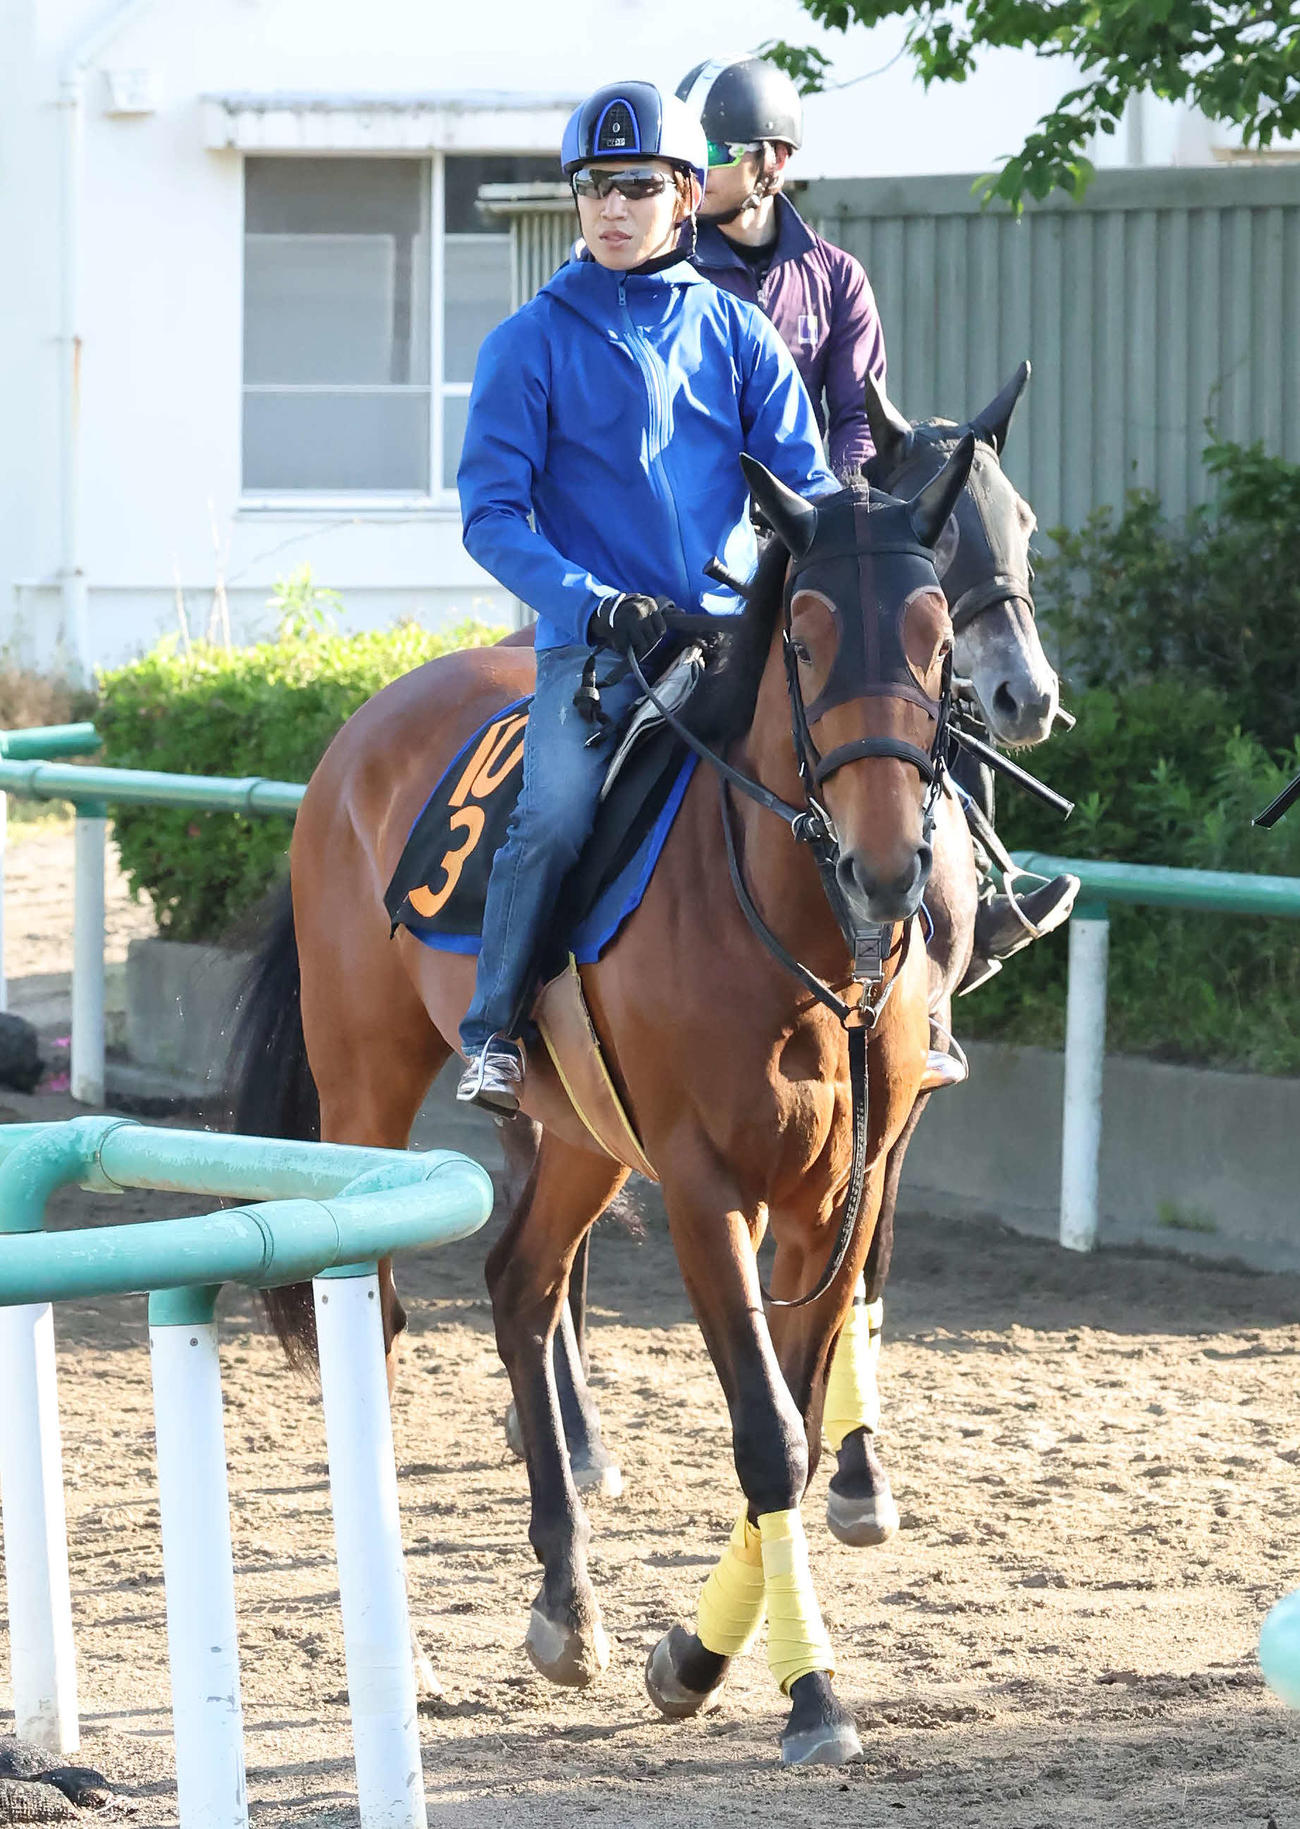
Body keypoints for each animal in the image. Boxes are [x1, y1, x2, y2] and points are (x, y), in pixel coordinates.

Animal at [228, 437, 976, 1766]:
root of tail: (364, 722)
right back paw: (407, 1642)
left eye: (936, 634)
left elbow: (793, 1417)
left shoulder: (838, 1192)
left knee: (519, 1284)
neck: (798, 943)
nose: (888, 868)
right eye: (807, 636)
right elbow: (766, 1430)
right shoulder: (702, 1187)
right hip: (367, 1086)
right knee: (374, 1316)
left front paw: (697, 1654)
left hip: (579, 1131)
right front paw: (805, 1691)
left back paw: (563, 1601)